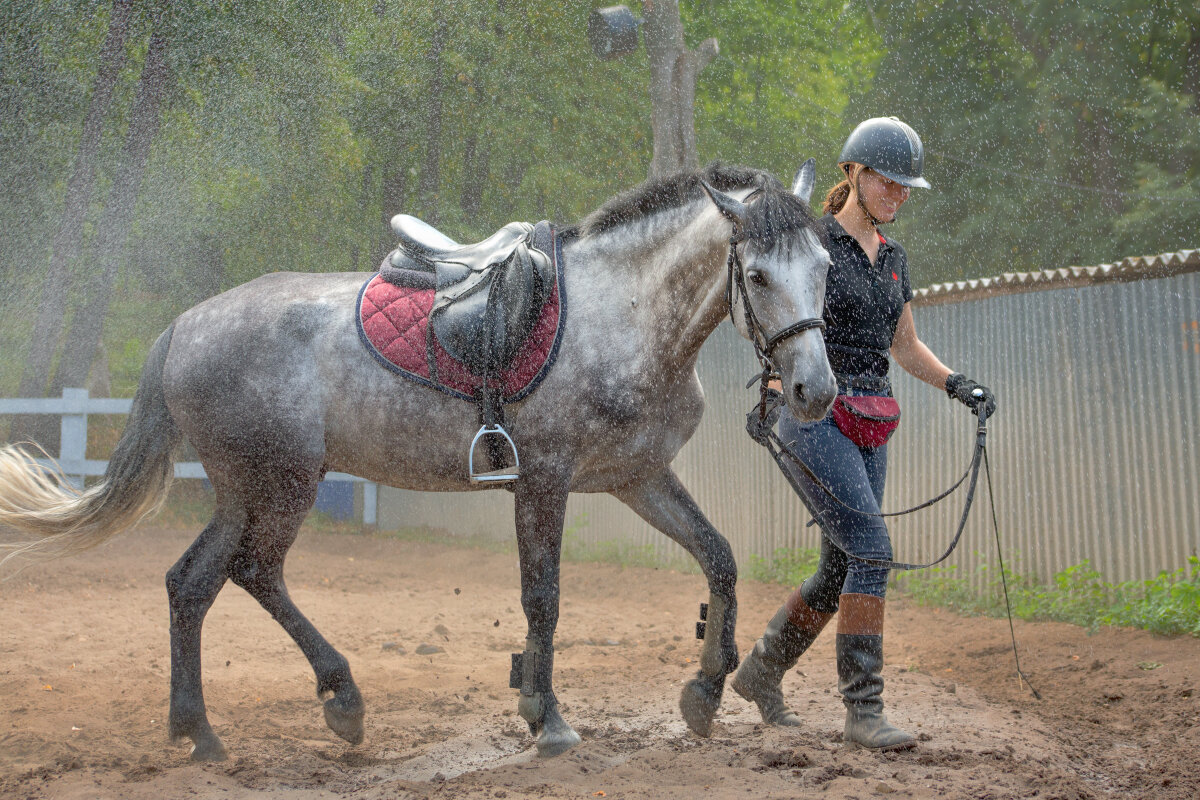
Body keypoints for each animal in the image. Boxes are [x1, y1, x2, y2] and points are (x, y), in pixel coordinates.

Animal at [0, 160, 835, 758]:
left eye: (826, 267)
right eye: (756, 274)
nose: (815, 390)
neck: (623, 316)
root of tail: (183, 326)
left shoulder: (636, 478)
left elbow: (719, 558)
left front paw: (705, 693)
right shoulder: (544, 479)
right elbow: (544, 598)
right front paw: (546, 717)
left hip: (247, 486)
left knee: (198, 582)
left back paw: (210, 728)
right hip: (280, 482)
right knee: (244, 573)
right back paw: (315, 707)